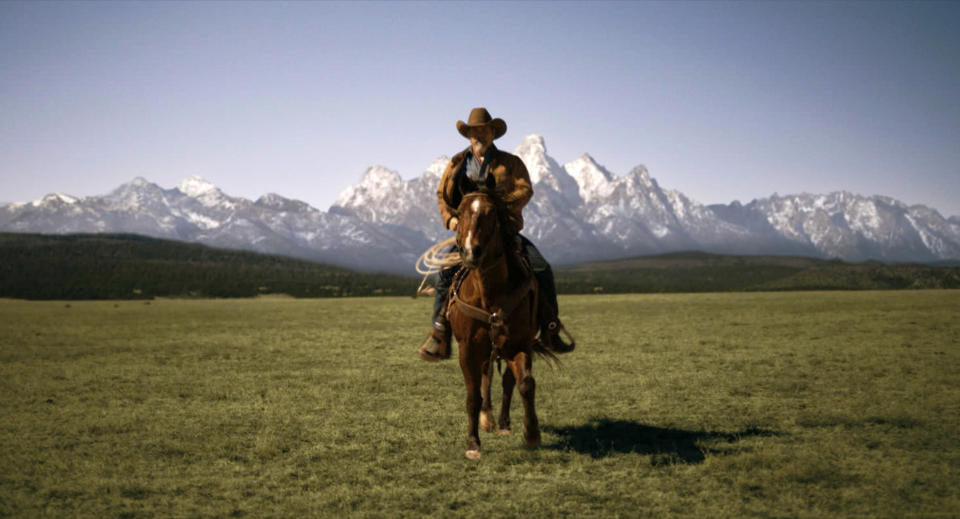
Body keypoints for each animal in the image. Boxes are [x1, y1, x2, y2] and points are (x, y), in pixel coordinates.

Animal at [444, 190, 552, 460]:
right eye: (459, 212)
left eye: (492, 213)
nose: (470, 252)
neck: (489, 294)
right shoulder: (467, 350)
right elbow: (473, 395)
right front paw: (473, 443)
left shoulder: (519, 344)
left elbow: (525, 383)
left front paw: (532, 434)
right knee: (486, 379)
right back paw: (487, 418)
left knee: (506, 383)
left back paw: (502, 423)